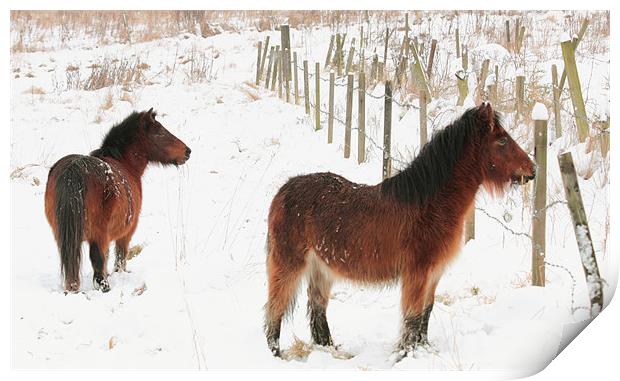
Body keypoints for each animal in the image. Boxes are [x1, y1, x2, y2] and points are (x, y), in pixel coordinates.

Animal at [44, 108, 190, 292]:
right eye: (161, 132)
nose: (187, 151)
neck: (125, 163)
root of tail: (74, 170)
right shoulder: (126, 233)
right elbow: (119, 257)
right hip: (98, 235)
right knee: (97, 265)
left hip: (63, 236)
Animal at [264, 102, 536, 358]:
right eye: (502, 140)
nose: (533, 170)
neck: (430, 203)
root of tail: (283, 191)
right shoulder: (417, 272)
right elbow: (412, 316)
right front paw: (406, 354)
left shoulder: (434, 273)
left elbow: (426, 312)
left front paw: (423, 349)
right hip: (289, 264)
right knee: (275, 307)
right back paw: (276, 353)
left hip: (322, 268)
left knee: (317, 309)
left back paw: (331, 350)